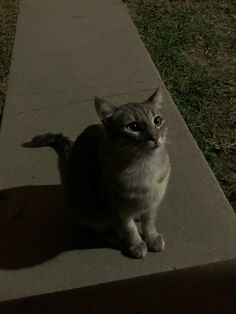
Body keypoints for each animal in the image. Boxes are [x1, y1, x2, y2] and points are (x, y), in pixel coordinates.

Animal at [26, 87, 171, 258]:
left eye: (157, 121)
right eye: (134, 126)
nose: (155, 137)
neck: (145, 166)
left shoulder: (152, 204)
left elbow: (149, 224)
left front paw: (152, 238)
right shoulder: (116, 210)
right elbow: (129, 229)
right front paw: (136, 244)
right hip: (88, 207)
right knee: (99, 225)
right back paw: (112, 233)